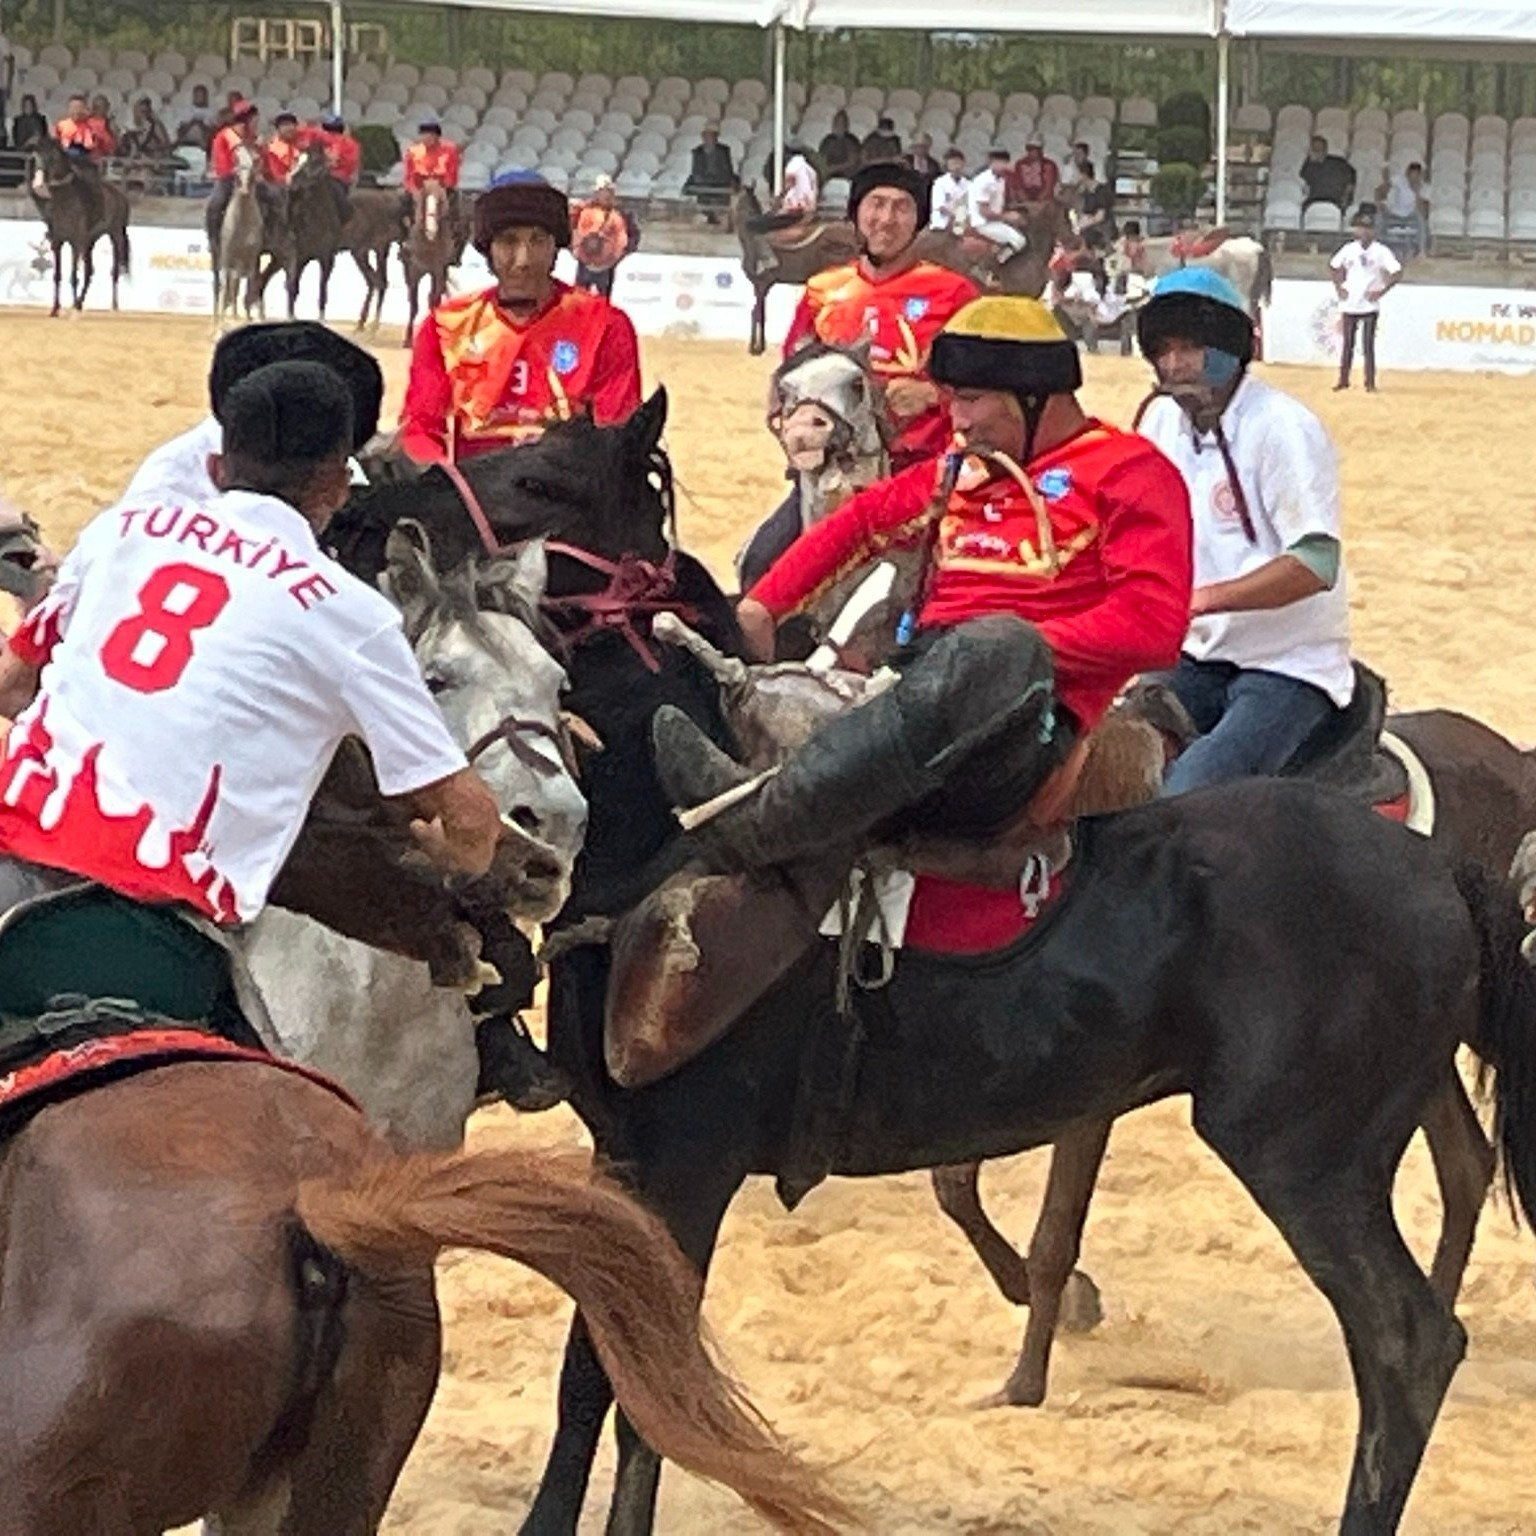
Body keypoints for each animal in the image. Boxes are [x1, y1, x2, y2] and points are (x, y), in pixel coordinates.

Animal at [27, 138, 131, 317]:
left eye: (52, 155)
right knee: (89, 271)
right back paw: (80, 303)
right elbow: (57, 275)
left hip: (115, 235)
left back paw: (113, 305)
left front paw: (72, 308)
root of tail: (120, 196)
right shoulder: (58, 242)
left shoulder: (75, 241)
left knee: (114, 272)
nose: (38, 184)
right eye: (35, 155)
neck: (64, 198)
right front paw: (55, 308)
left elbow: (74, 276)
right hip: (90, 241)